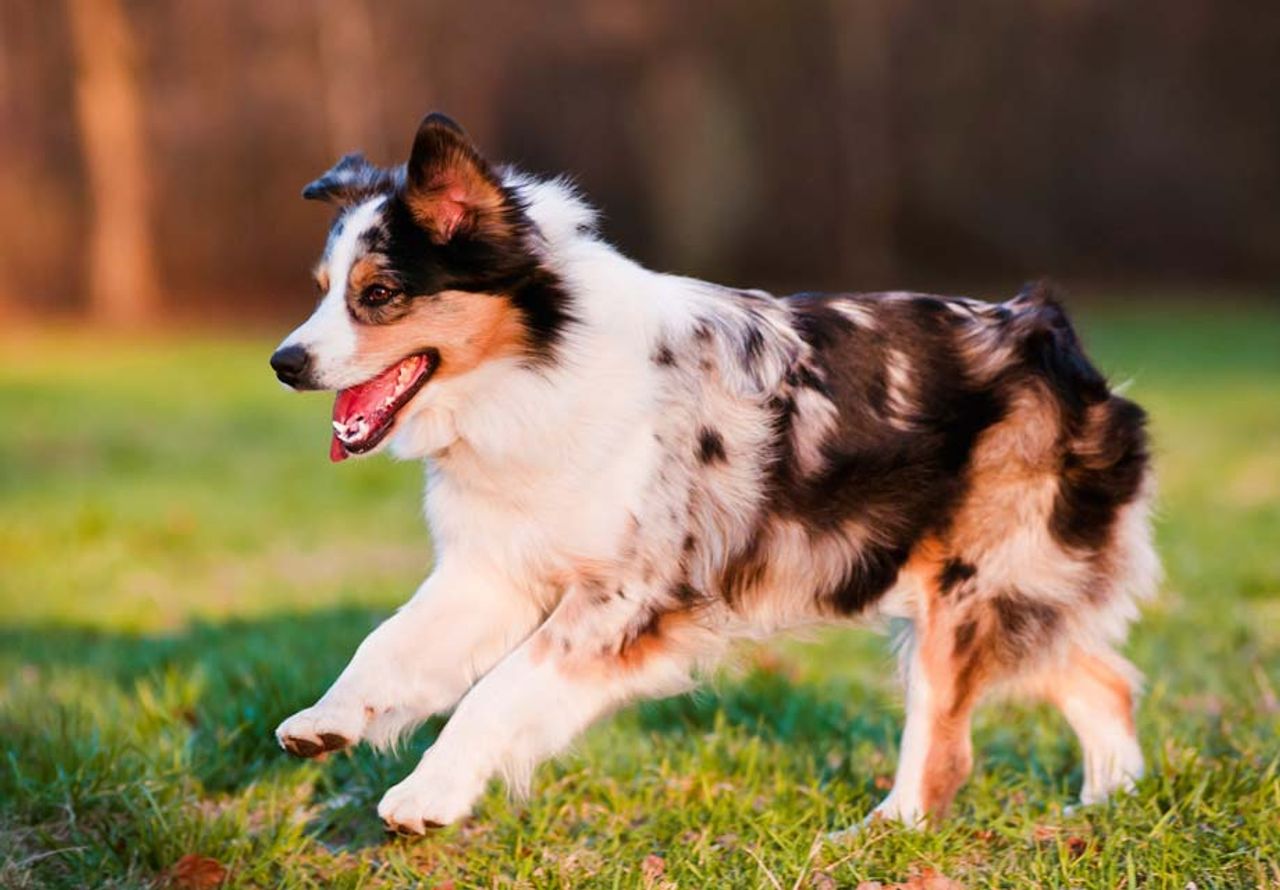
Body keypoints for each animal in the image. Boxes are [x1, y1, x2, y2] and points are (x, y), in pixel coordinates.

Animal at [264, 111, 1157, 834]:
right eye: (322, 291)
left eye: (378, 293)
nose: (283, 363)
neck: (537, 369)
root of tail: (1047, 330)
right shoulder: (495, 568)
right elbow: (389, 642)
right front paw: (327, 717)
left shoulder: (624, 598)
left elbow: (496, 692)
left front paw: (428, 795)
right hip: (996, 584)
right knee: (1102, 679)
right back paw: (1106, 806)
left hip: (968, 586)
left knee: (946, 750)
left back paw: (879, 834)